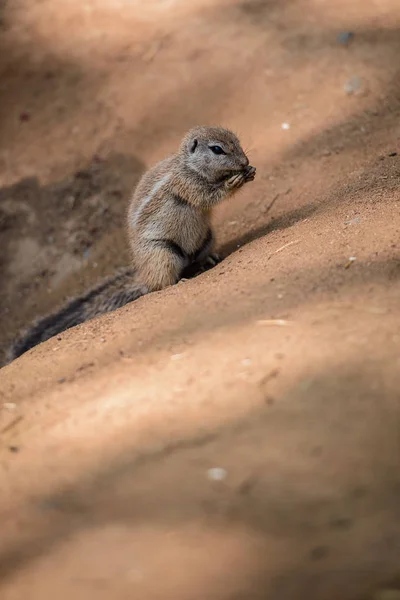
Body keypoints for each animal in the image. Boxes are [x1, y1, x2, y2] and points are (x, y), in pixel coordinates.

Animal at [10, 126, 258, 360]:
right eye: (217, 149)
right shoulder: (187, 184)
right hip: (163, 254)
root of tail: (143, 276)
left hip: (208, 237)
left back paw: (207, 260)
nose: (244, 162)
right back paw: (178, 281)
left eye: (236, 141)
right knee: (159, 285)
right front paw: (234, 181)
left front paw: (249, 172)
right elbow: (208, 197)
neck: (189, 166)